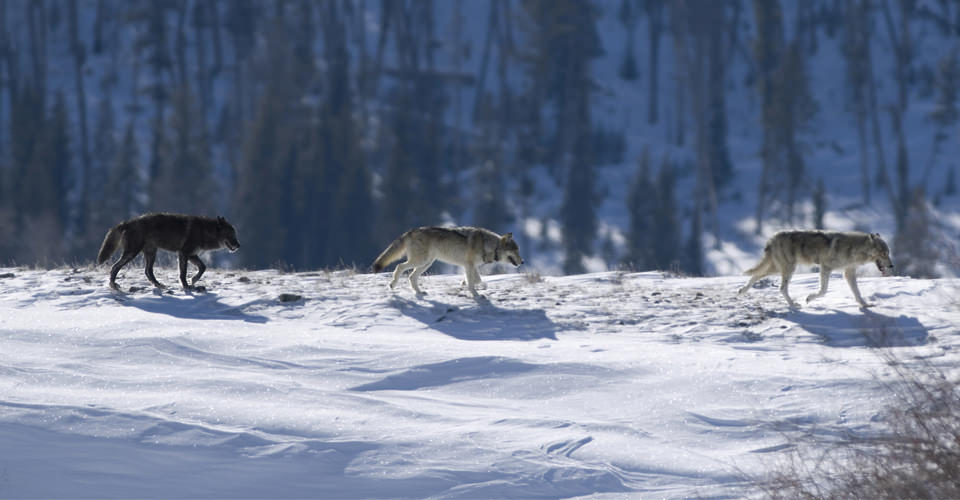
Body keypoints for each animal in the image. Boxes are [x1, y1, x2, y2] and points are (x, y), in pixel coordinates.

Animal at [97, 212, 240, 291]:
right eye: (230, 235)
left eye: (235, 235)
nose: (239, 246)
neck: (204, 231)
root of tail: (126, 222)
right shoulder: (183, 253)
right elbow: (183, 273)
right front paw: (187, 287)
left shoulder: (192, 255)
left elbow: (203, 267)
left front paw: (193, 280)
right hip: (132, 253)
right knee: (115, 267)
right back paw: (114, 285)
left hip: (151, 253)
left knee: (148, 272)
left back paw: (160, 286)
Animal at [372, 226, 524, 296]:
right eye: (516, 250)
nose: (522, 262)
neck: (489, 245)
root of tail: (410, 231)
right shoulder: (469, 265)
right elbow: (475, 281)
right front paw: (476, 294)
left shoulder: (470, 266)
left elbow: (475, 279)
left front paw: (464, 284)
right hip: (420, 261)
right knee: (399, 266)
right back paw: (392, 284)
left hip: (426, 263)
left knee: (411, 276)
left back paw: (419, 293)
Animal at [738, 230, 894, 308]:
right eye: (884, 253)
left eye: (888, 253)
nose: (892, 266)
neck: (854, 249)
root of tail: (771, 238)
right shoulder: (826, 268)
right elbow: (823, 291)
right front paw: (809, 298)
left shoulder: (848, 273)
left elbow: (857, 293)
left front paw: (865, 305)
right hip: (788, 269)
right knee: (781, 288)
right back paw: (793, 305)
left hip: (777, 268)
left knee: (756, 275)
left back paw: (742, 291)